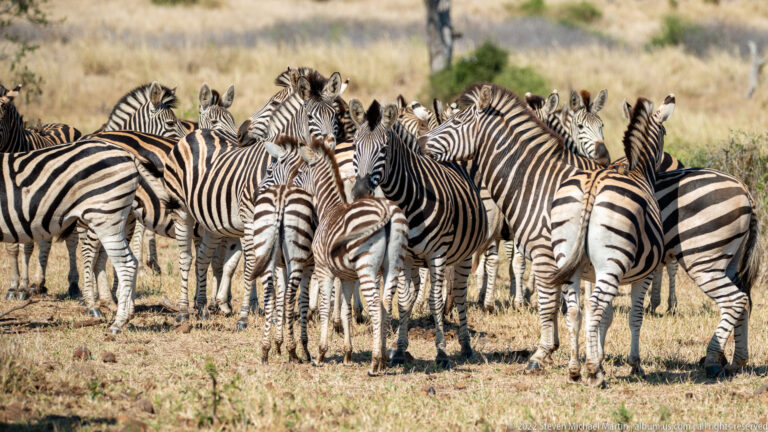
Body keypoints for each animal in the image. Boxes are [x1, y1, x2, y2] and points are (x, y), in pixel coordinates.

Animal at [0, 85, 82, 301]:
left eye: (3, 107)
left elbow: (26, 246)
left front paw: (22, 287)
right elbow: (12, 246)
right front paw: (14, 286)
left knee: (71, 241)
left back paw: (73, 285)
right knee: (45, 241)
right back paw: (39, 284)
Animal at [300, 136, 408, 376]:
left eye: (301, 171)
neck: (329, 207)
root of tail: (386, 211)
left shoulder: (324, 269)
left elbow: (325, 308)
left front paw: (321, 353)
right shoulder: (347, 276)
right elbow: (346, 310)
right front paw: (348, 354)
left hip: (367, 268)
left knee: (376, 305)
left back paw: (375, 363)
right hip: (394, 265)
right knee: (386, 304)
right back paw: (383, 358)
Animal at [350, 99, 488, 367]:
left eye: (383, 149)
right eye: (355, 146)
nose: (360, 192)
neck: (408, 199)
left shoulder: (438, 254)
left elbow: (435, 300)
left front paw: (441, 352)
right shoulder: (404, 257)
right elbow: (403, 302)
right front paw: (398, 350)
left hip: (464, 254)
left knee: (459, 293)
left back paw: (465, 346)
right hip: (415, 261)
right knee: (413, 291)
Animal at [420, 83, 760, 381]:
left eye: (456, 122)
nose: (420, 144)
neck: (536, 179)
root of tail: (744, 189)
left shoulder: (546, 253)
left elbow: (551, 304)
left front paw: (546, 353)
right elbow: (578, 307)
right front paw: (584, 355)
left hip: (702, 257)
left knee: (733, 300)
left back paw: (713, 357)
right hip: (727, 261)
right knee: (744, 301)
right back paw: (734, 361)